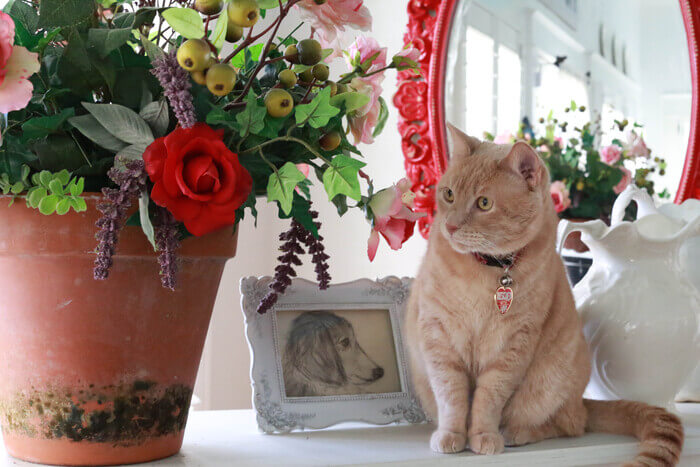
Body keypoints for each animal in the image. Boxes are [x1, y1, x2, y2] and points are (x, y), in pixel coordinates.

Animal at [404, 126, 684, 466]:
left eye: (484, 203)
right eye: (448, 194)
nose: (451, 225)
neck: (489, 271)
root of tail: (583, 400)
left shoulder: (514, 344)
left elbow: (488, 397)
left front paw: (483, 434)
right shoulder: (438, 337)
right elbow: (451, 395)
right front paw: (451, 435)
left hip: (553, 381)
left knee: (568, 424)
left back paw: (516, 432)